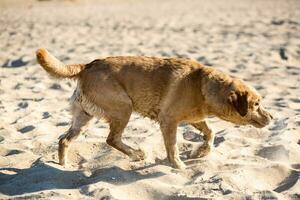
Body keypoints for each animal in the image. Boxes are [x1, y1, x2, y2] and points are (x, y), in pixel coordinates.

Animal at [36, 48, 274, 169]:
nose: (272, 117)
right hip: (123, 108)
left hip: (84, 117)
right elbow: (173, 147)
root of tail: (87, 66)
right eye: (256, 104)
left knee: (64, 139)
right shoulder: (168, 121)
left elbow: (211, 132)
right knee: (111, 139)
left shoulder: (195, 118)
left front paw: (202, 151)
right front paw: (178, 165)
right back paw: (136, 154)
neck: (203, 86)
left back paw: (62, 165)